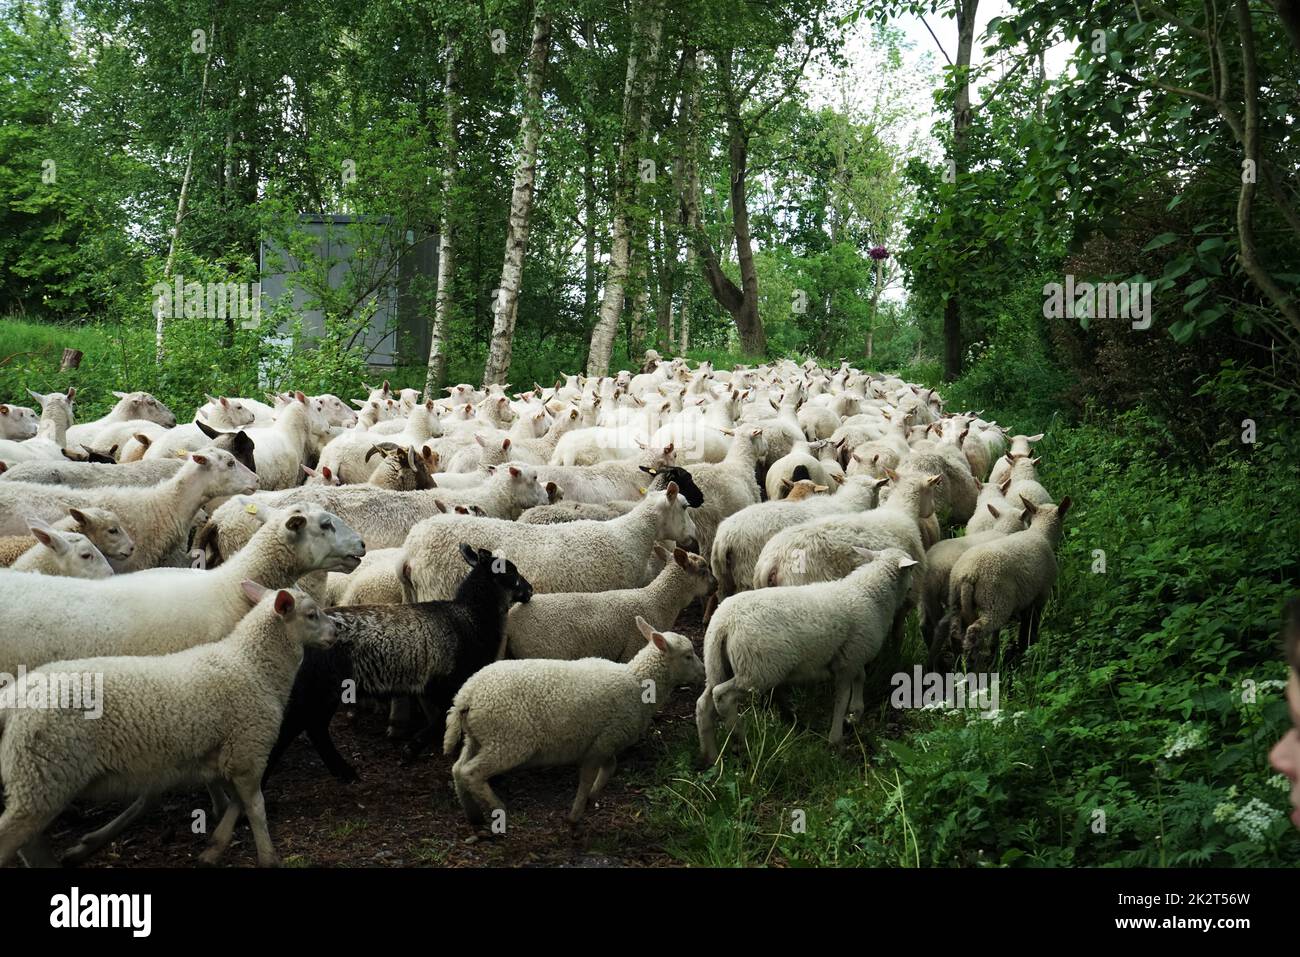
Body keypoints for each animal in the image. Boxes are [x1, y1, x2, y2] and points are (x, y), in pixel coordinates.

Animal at [0, 580, 333, 868]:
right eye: (311, 614)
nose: (337, 629)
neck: (251, 665)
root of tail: (16, 694)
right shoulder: (248, 749)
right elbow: (255, 808)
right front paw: (268, 857)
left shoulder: (229, 754)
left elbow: (236, 803)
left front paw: (213, 849)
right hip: (43, 774)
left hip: (38, 777)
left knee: (29, 841)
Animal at [264, 545, 533, 782]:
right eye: (510, 572)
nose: (530, 589)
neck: (471, 616)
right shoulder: (447, 681)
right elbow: (440, 720)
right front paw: (411, 749)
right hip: (318, 685)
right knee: (298, 727)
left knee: (314, 727)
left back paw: (343, 773)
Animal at [444, 615, 705, 825]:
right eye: (688, 656)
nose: (703, 673)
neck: (638, 681)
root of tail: (466, 695)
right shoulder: (602, 742)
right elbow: (589, 776)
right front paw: (576, 814)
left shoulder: (605, 741)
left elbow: (610, 767)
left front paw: (592, 797)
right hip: (508, 740)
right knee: (471, 773)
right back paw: (498, 806)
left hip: (477, 737)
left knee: (457, 770)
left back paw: (473, 814)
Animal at [696, 547, 919, 762]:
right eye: (910, 570)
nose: (913, 590)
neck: (868, 593)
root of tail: (724, 622)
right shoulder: (848, 662)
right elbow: (841, 700)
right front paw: (836, 738)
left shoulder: (852, 655)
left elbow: (861, 678)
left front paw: (855, 712)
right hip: (758, 670)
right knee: (722, 696)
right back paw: (738, 737)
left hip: (718, 665)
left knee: (704, 705)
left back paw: (711, 755)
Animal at [941, 495, 1073, 668]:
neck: (1041, 533)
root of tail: (968, 574)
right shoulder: (1040, 594)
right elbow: (1029, 625)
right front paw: (1027, 647)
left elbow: (1001, 631)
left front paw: (997, 649)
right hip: (994, 599)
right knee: (974, 632)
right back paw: (973, 666)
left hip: (958, 600)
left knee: (956, 633)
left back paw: (960, 664)